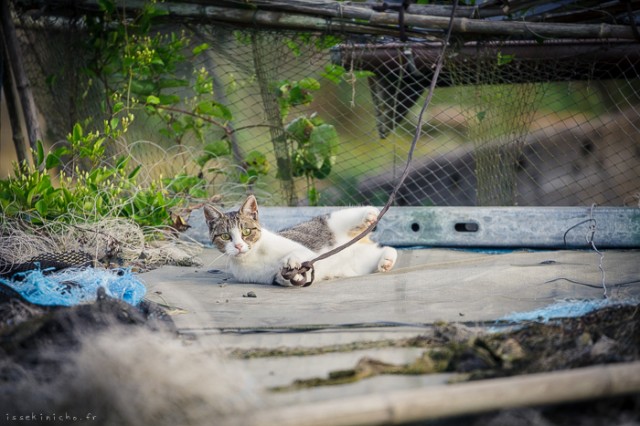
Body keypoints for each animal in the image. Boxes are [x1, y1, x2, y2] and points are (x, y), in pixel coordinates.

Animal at [202, 196, 398, 286]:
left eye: (246, 231)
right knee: (382, 251)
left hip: (333, 221)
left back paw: (369, 215)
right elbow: (282, 277)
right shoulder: (267, 277)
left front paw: (291, 260)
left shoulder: (302, 248)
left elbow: (299, 253)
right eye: (225, 236)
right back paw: (386, 260)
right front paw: (292, 274)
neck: (254, 256)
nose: (238, 245)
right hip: (357, 263)